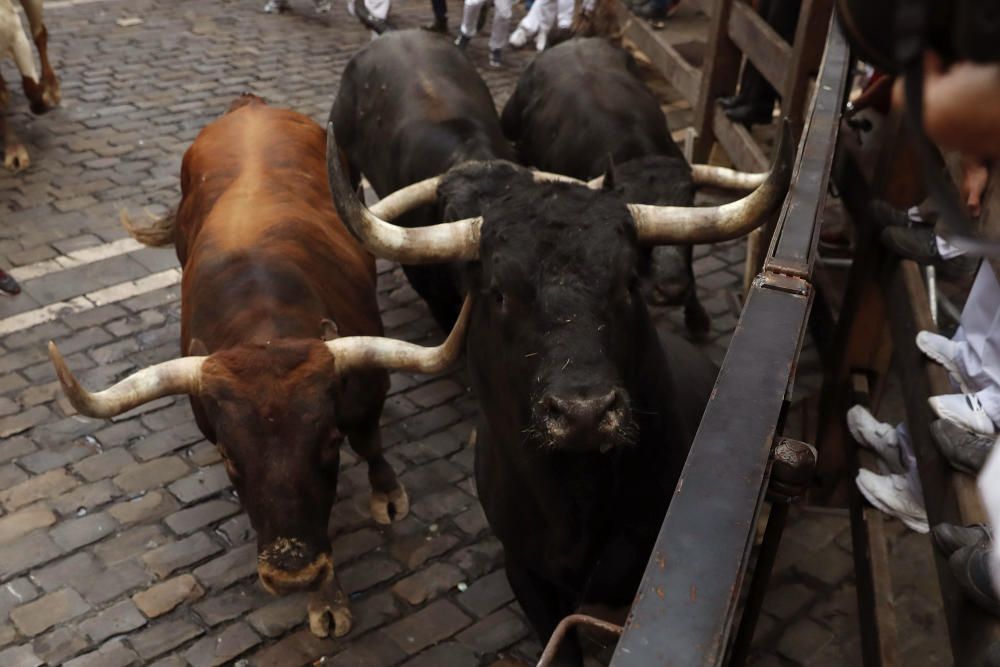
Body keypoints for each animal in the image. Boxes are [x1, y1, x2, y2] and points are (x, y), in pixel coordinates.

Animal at [47, 96, 468, 640]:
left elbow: (370, 441)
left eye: (329, 442)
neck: (264, 321)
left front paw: (387, 495)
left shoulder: (368, 391)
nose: (293, 574)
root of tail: (250, 105)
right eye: (228, 456)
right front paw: (323, 597)